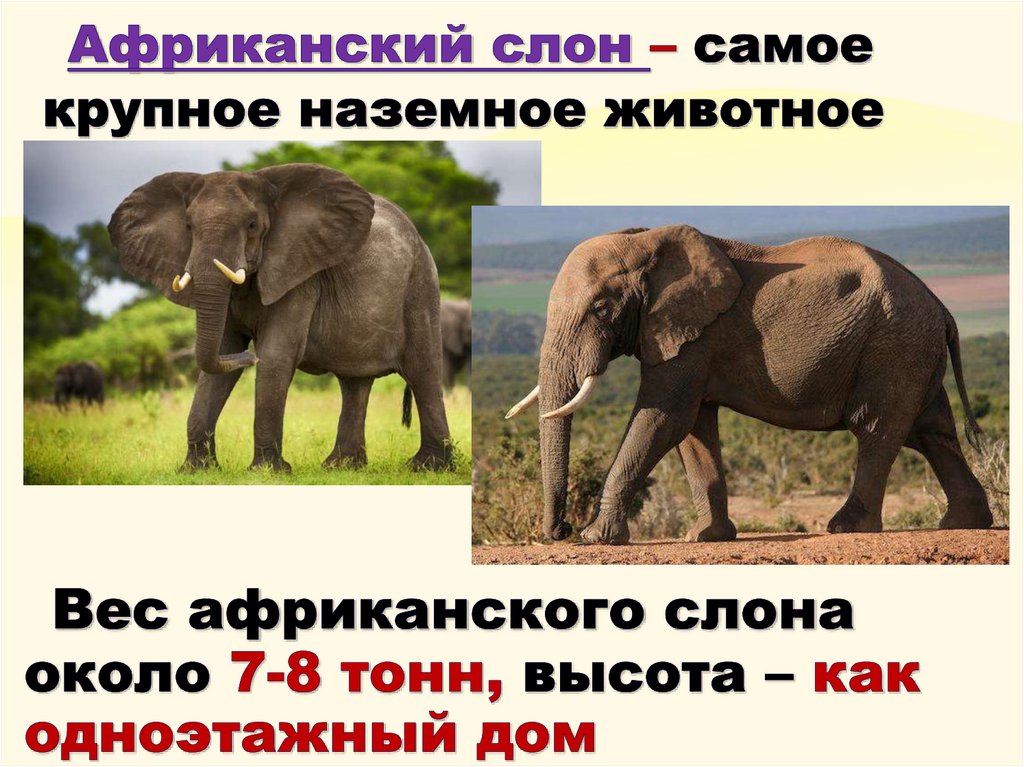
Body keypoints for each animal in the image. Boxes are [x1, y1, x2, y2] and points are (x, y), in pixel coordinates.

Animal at [108, 163, 452, 472]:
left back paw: (428, 467)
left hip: (420, 284)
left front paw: (266, 471)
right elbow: (220, 353)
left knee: (423, 370)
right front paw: (196, 470)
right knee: (354, 382)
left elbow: (275, 356)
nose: (249, 356)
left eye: (251, 225)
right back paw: (341, 467)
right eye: (189, 227)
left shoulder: (298, 273)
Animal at [505, 224, 993, 544]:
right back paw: (965, 523)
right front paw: (707, 537)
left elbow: (664, 416)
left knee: (877, 428)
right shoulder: (689, 338)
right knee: (932, 430)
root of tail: (942, 307)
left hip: (893, 345)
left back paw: (847, 528)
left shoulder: (695, 335)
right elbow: (692, 428)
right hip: (910, 350)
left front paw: (596, 538)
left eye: (602, 308)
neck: (644, 241)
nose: (559, 531)